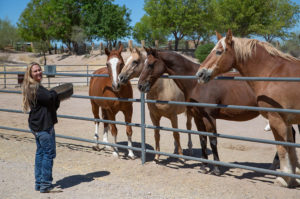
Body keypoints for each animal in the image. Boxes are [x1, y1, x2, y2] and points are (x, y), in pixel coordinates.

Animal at [138, 47, 260, 175]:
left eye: (151, 64)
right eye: (144, 63)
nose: (140, 86)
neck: (196, 84)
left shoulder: (209, 118)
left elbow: (212, 140)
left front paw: (216, 169)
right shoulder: (198, 117)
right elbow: (202, 139)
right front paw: (204, 166)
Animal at [197, 29, 300, 187]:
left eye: (219, 52)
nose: (200, 74)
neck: (273, 73)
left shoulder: (277, 119)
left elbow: (282, 148)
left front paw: (284, 179)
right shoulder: (286, 121)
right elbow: (290, 148)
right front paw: (292, 176)